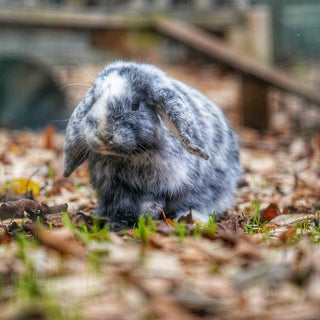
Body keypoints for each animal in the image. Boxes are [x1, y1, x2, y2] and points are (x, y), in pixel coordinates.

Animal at [63, 60, 241, 230]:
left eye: (135, 105)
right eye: (94, 100)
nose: (103, 134)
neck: (132, 155)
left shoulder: (161, 188)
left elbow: (152, 204)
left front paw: (145, 220)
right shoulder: (116, 189)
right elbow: (123, 207)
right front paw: (118, 224)